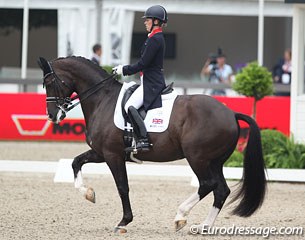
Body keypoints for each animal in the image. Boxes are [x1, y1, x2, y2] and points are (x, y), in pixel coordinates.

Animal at [38, 55, 266, 232]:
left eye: (49, 83)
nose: (52, 116)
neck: (103, 99)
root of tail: (231, 113)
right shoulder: (101, 153)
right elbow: (75, 162)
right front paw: (88, 193)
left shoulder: (113, 155)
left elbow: (122, 187)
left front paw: (123, 222)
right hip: (214, 161)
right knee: (221, 190)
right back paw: (204, 226)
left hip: (197, 157)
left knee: (207, 184)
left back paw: (180, 216)